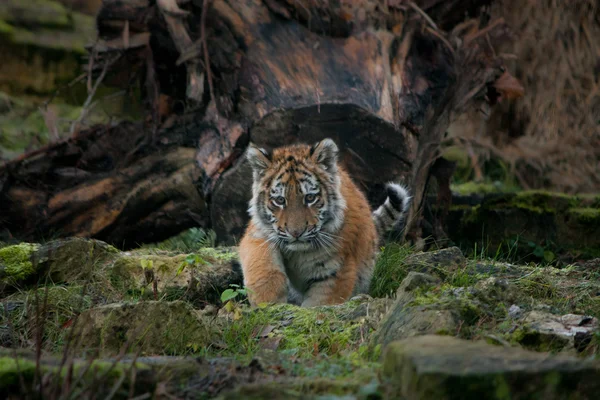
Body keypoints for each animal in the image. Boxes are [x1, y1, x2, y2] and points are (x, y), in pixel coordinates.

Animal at [239, 138, 412, 306]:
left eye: (310, 198)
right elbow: (262, 264)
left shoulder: (335, 271)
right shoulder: (258, 234)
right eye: (280, 200)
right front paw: (267, 301)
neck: (298, 252)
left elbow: (319, 303)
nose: (296, 233)